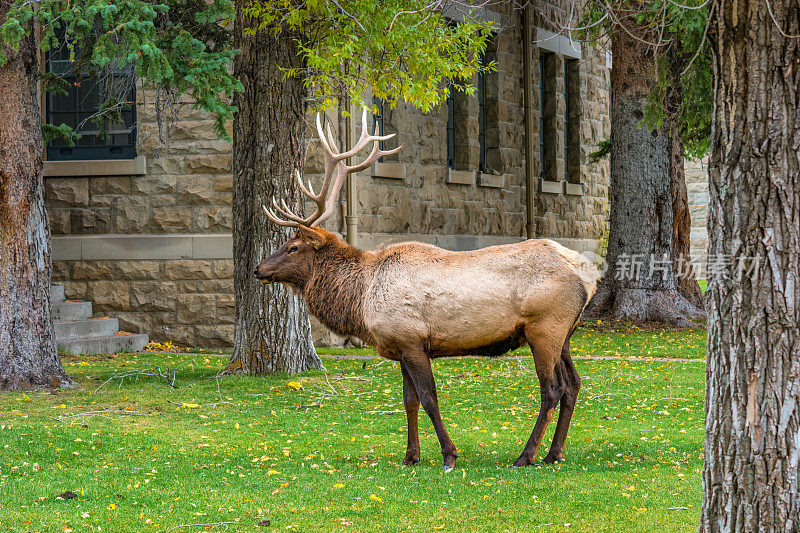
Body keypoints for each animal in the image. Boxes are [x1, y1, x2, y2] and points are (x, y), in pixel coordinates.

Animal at [253, 110, 596, 468]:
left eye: (293, 247)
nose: (258, 269)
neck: (360, 302)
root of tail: (587, 275)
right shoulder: (399, 346)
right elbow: (409, 400)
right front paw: (410, 456)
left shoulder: (412, 340)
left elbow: (429, 398)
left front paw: (449, 454)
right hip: (565, 333)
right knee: (574, 384)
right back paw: (554, 454)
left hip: (544, 328)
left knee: (552, 389)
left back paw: (525, 456)